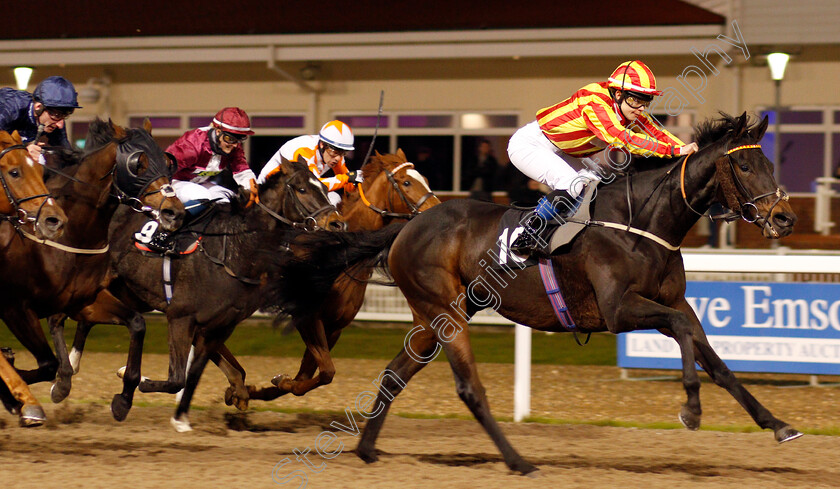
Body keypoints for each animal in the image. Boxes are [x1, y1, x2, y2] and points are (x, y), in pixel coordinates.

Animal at [0, 118, 185, 420]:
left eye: (167, 162)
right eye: (138, 163)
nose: (175, 213)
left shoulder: (83, 301)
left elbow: (137, 324)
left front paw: (123, 399)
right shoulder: (15, 307)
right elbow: (46, 362)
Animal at [215, 150, 440, 408]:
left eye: (425, 178)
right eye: (406, 182)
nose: (436, 209)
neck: (337, 256)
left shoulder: (334, 326)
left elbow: (312, 375)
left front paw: (265, 386)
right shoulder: (307, 316)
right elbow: (325, 371)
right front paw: (263, 385)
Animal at [282, 114, 800, 472]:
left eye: (772, 162)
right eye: (745, 164)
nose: (785, 218)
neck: (642, 223)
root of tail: (408, 226)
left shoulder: (674, 302)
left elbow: (712, 356)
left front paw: (777, 424)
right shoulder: (619, 310)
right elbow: (682, 334)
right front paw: (690, 409)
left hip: (434, 317)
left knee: (395, 374)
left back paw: (367, 448)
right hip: (445, 312)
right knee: (469, 388)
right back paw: (518, 461)